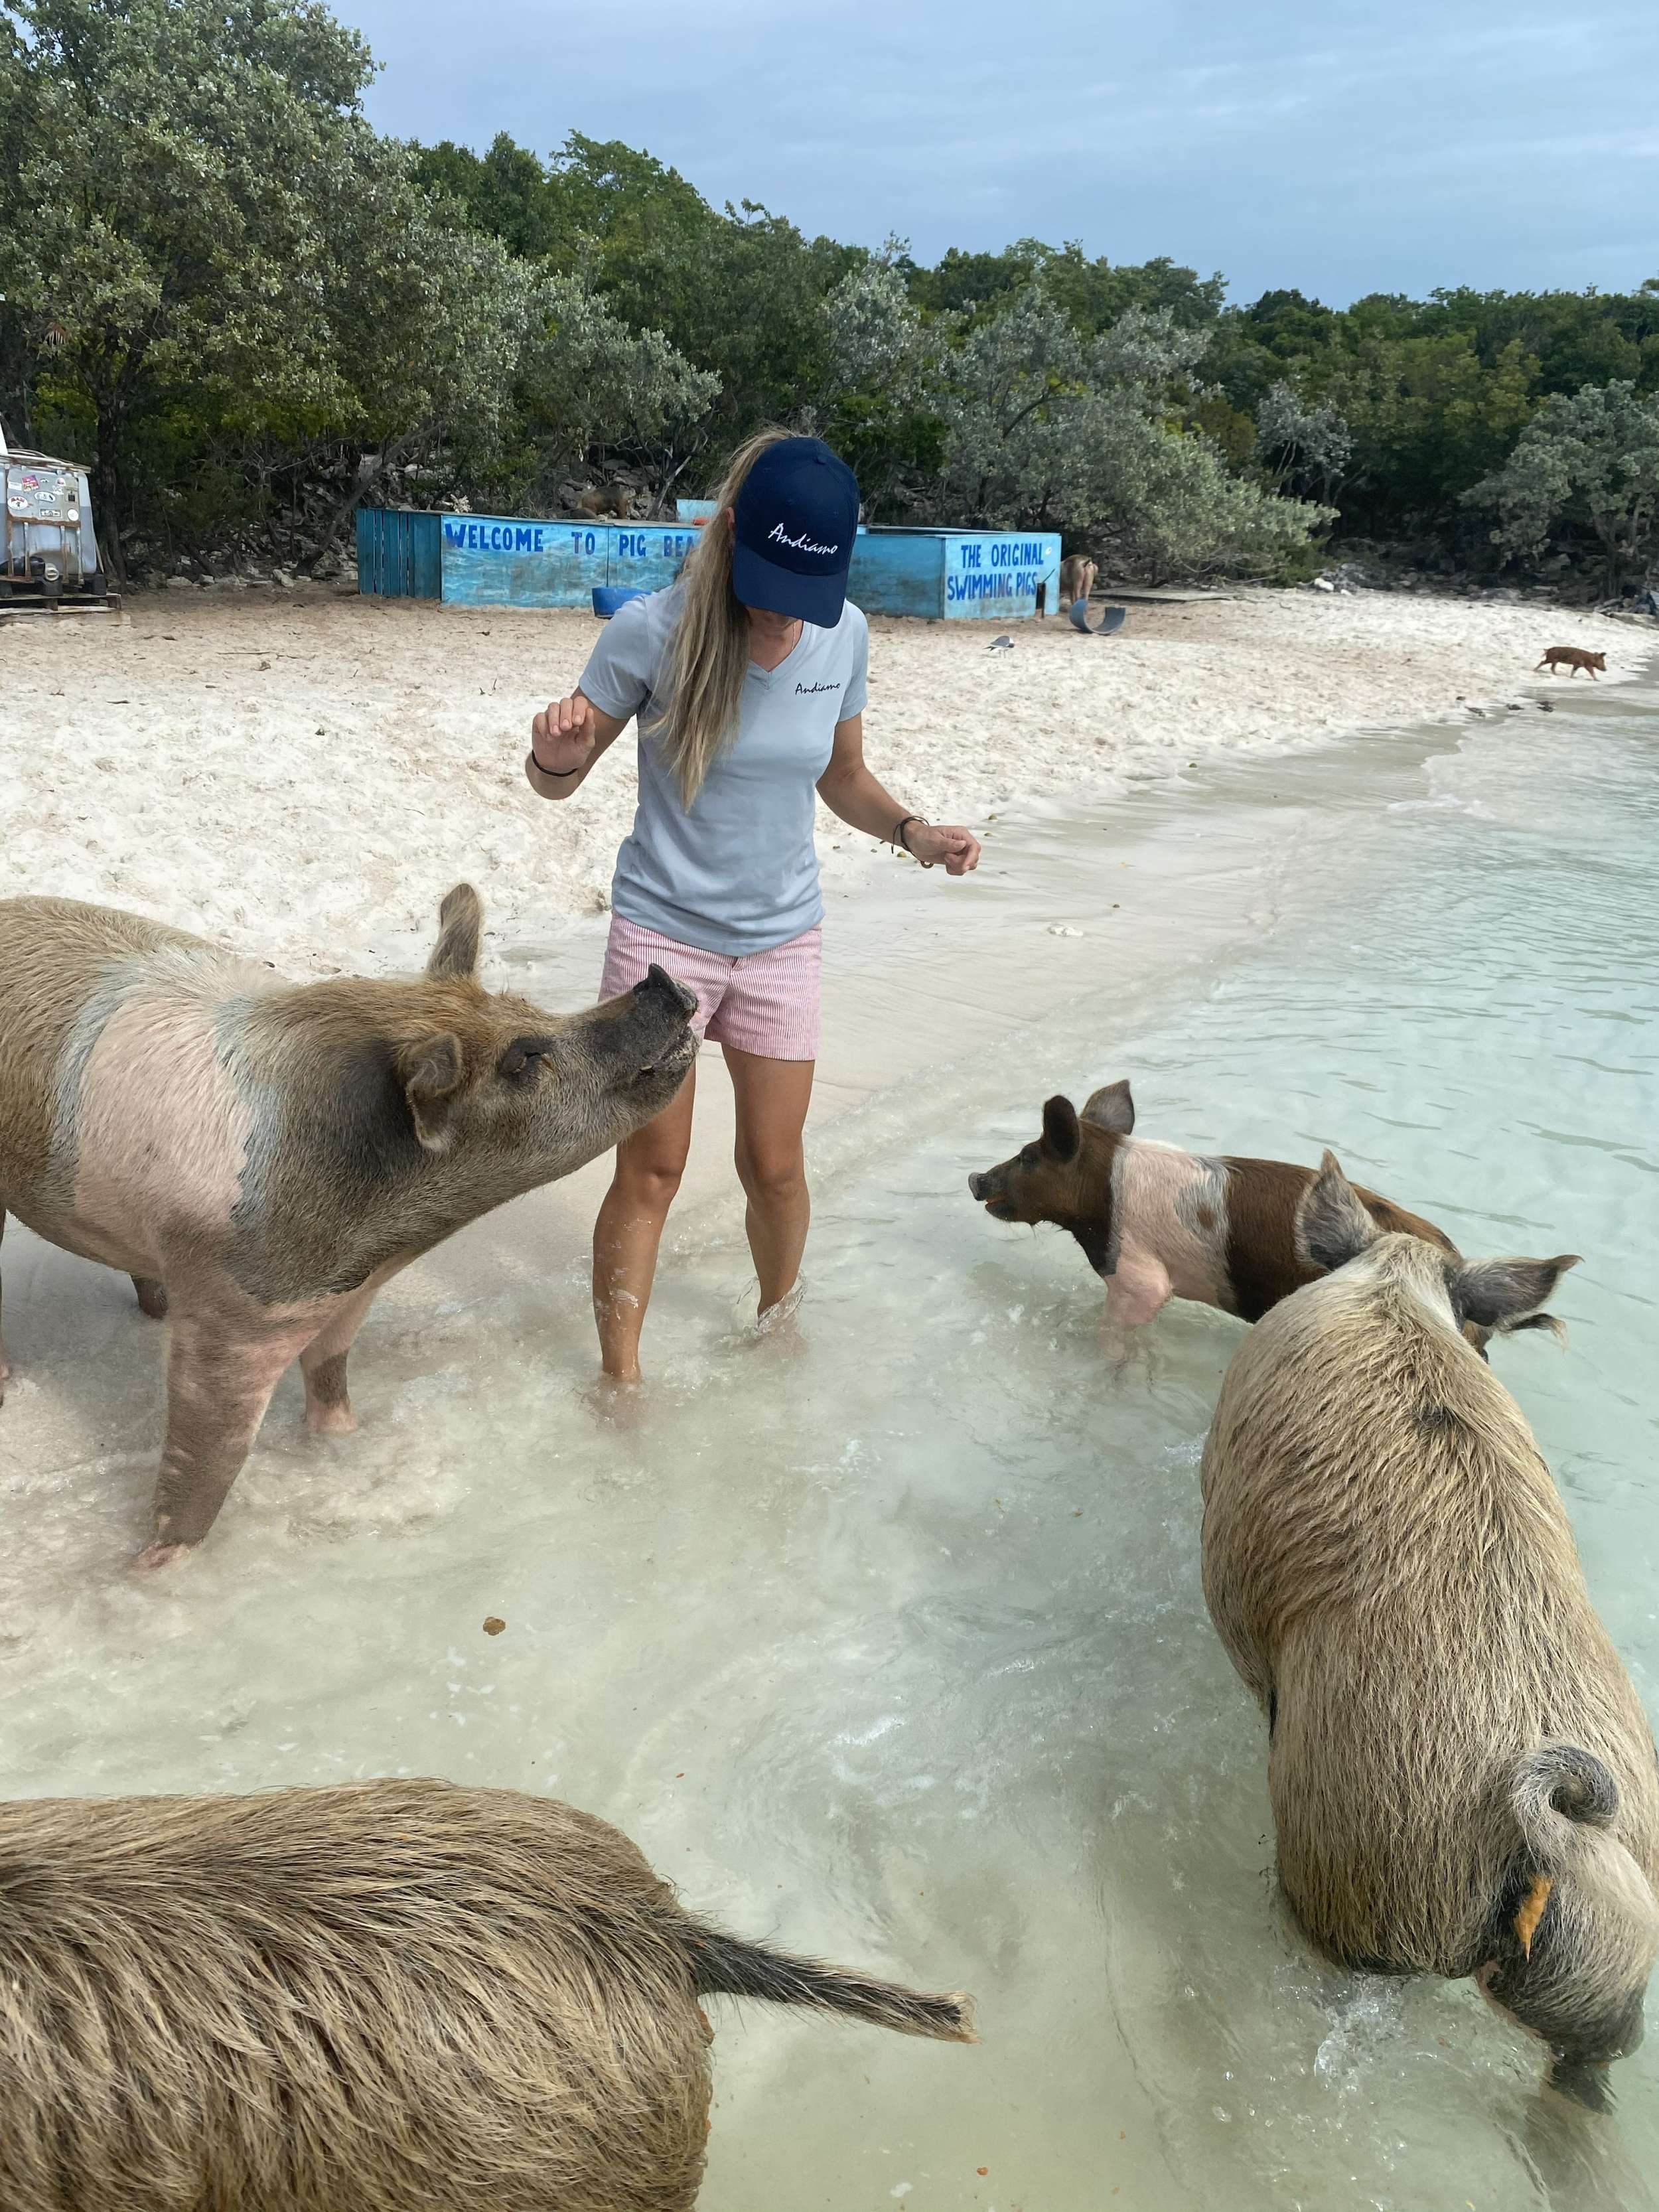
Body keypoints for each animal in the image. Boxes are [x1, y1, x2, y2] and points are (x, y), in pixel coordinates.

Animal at [0, 885, 697, 1568]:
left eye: (524, 1006)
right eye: (525, 1057)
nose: (660, 980)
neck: (385, 1240)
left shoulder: (349, 1294)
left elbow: (332, 1378)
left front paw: (341, 1446)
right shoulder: (232, 1305)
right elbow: (210, 1459)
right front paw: (150, 1570)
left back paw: (153, 1308)